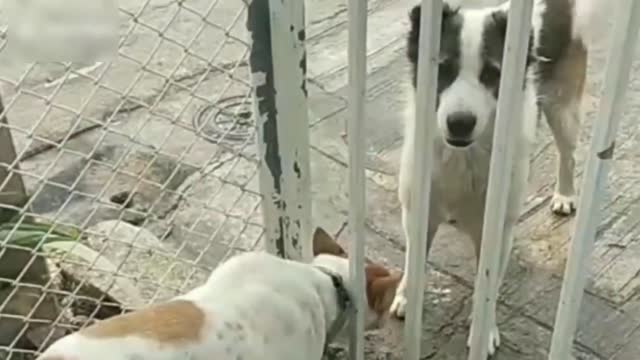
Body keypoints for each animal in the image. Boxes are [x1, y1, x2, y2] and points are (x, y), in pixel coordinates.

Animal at [392, 0, 608, 354]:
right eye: (443, 69)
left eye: (493, 75)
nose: (459, 123)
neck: (465, 157)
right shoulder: (417, 211)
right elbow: (414, 258)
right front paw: (407, 296)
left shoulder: (496, 229)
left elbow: (487, 284)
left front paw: (484, 329)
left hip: (563, 110)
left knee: (568, 155)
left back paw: (564, 194)